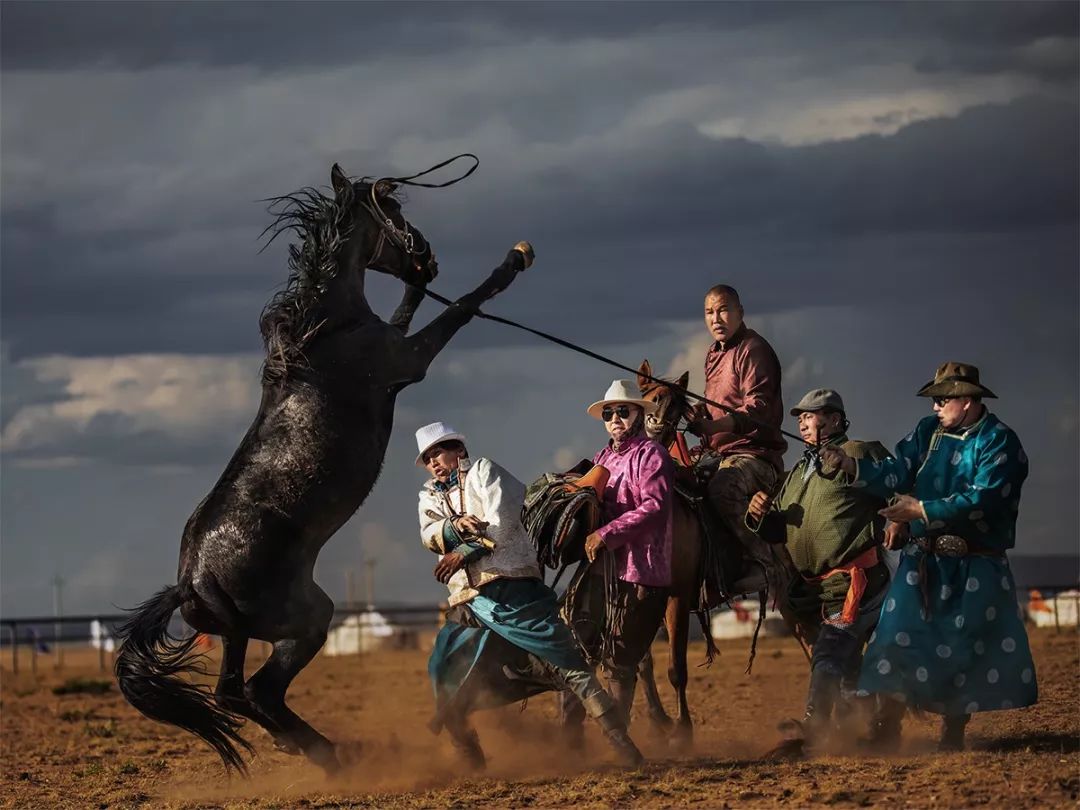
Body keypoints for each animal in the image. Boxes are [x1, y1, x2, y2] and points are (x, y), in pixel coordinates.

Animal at [116, 163, 533, 773]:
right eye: (394, 209)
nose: (427, 257)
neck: (327, 331)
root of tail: (190, 582)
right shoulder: (408, 359)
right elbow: (458, 308)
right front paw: (512, 261)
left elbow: (412, 306)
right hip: (308, 620)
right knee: (259, 691)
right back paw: (339, 757)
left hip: (240, 635)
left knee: (232, 693)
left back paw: (308, 747)